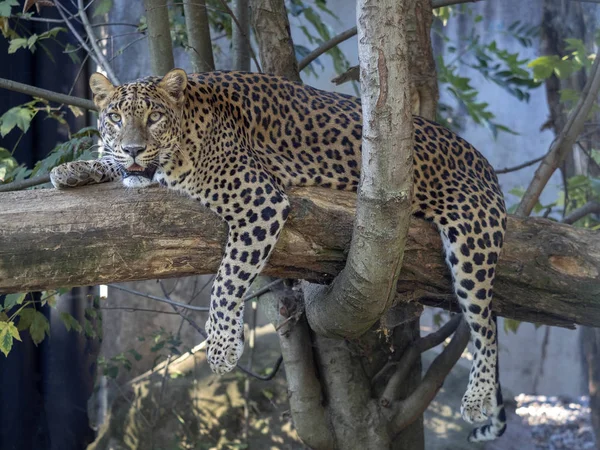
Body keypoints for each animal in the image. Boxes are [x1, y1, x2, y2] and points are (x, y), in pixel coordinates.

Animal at [51, 68, 508, 442]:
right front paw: (74, 169)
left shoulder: (260, 202)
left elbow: (227, 280)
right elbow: (118, 169)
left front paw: (222, 348)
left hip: (473, 240)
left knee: (485, 324)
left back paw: (477, 397)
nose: (131, 148)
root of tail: (484, 162)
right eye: (115, 118)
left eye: (154, 118)